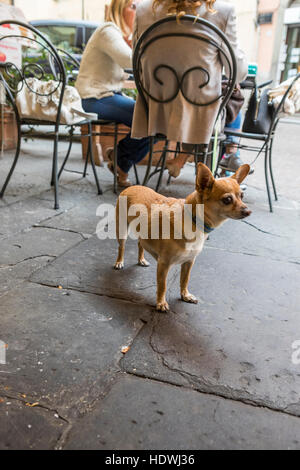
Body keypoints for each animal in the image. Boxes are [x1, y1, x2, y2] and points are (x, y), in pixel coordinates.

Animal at [114, 162, 251, 312]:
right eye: (227, 200)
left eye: (242, 196)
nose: (248, 211)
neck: (194, 220)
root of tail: (132, 186)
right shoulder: (164, 264)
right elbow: (162, 286)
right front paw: (161, 302)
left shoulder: (189, 262)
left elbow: (184, 280)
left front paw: (185, 295)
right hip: (122, 230)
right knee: (121, 247)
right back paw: (119, 262)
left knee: (140, 244)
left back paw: (141, 260)